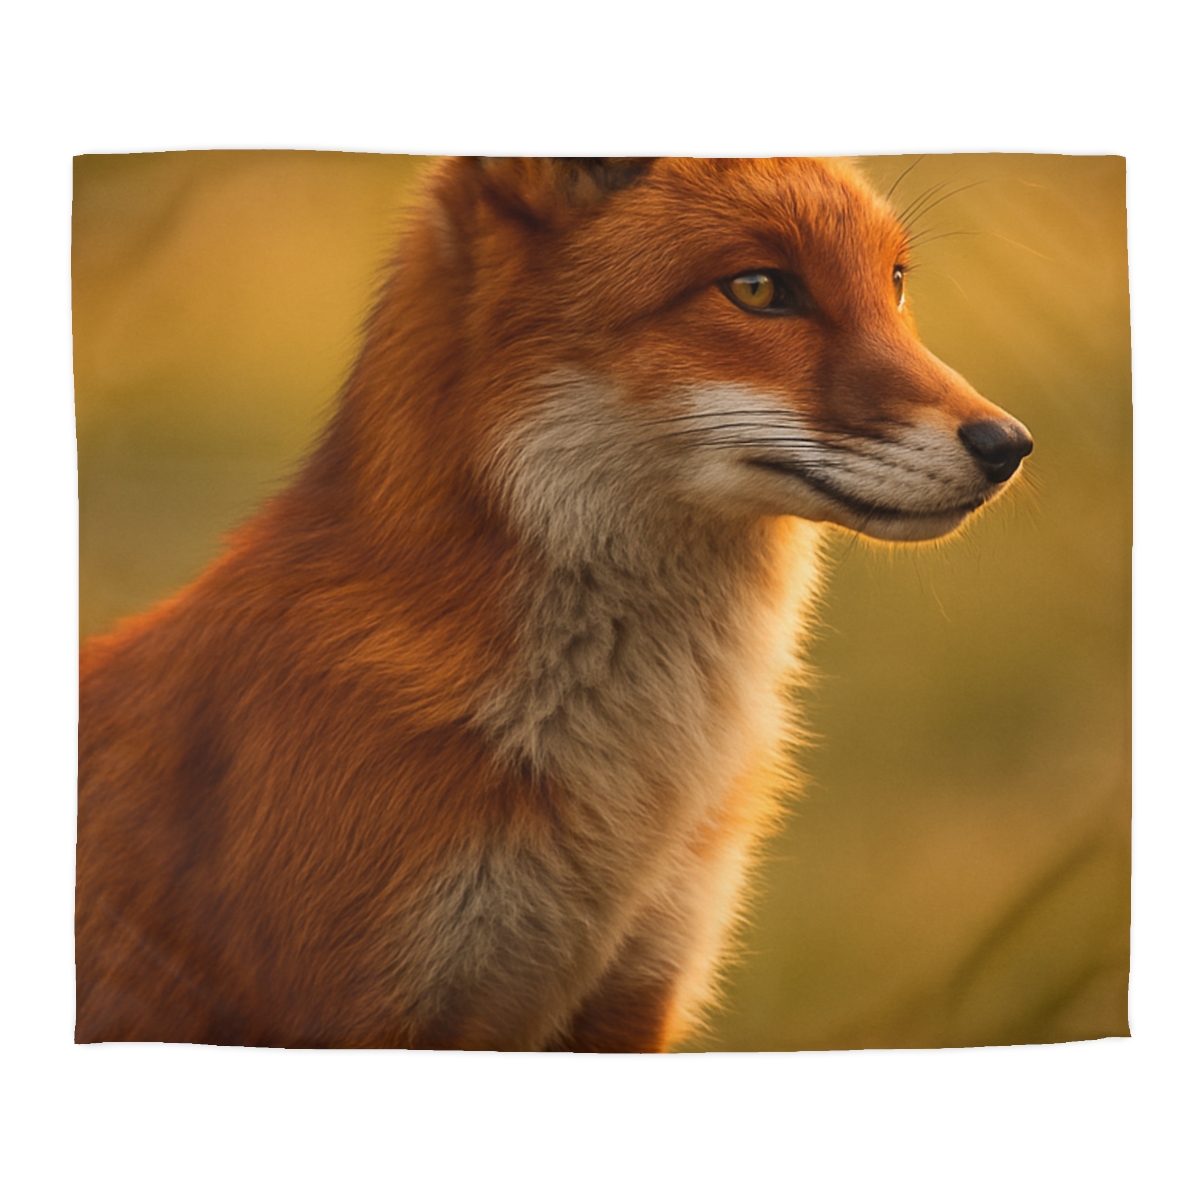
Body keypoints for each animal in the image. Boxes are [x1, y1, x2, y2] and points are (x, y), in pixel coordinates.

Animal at [76, 156, 1032, 1051]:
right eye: (760, 289)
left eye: (895, 283)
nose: (1009, 445)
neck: (634, 784)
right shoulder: (354, 1007)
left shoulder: (633, 993)